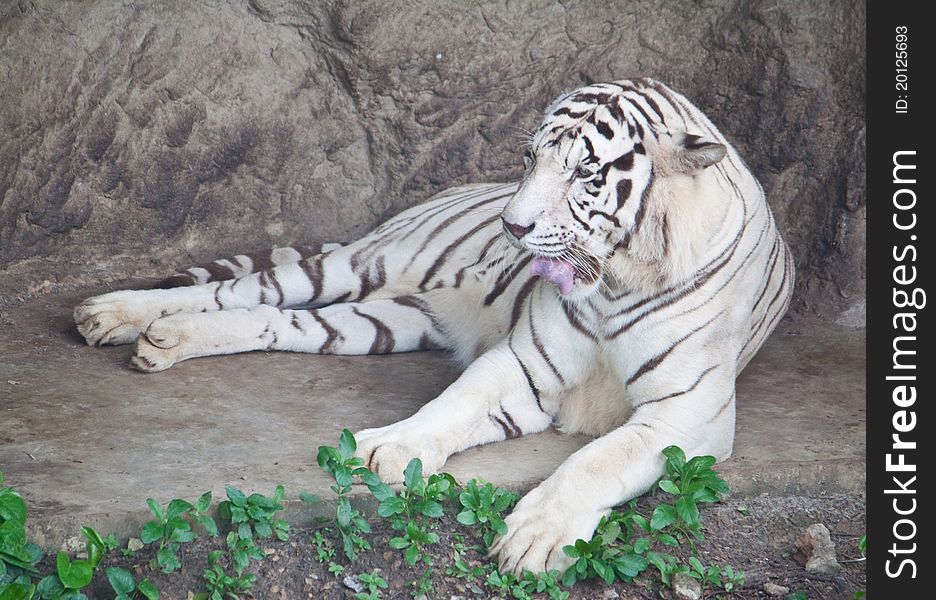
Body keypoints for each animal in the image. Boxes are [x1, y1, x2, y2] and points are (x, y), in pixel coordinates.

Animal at [73, 78, 792, 572]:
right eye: (531, 158)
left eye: (584, 173)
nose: (513, 227)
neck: (612, 280)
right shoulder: (526, 361)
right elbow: (456, 401)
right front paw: (385, 448)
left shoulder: (687, 415)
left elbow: (595, 460)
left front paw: (534, 538)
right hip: (358, 267)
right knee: (240, 290)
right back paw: (111, 314)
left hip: (377, 320)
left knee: (273, 320)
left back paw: (164, 339)